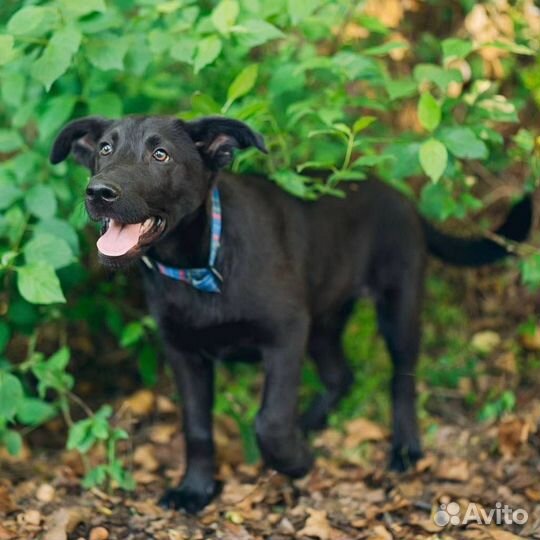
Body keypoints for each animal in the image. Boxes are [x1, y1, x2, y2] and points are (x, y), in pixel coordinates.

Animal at [49, 116, 532, 512]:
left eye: (160, 154)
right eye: (104, 150)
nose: (99, 192)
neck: (202, 263)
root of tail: (402, 198)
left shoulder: (284, 335)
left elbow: (271, 420)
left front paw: (296, 463)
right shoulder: (184, 353)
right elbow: (198, 429)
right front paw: (195, 490)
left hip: (398, 305)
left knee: (403, 379)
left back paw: (405, 448)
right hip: (322, 319)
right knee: (341, 375)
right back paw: (313, 423)